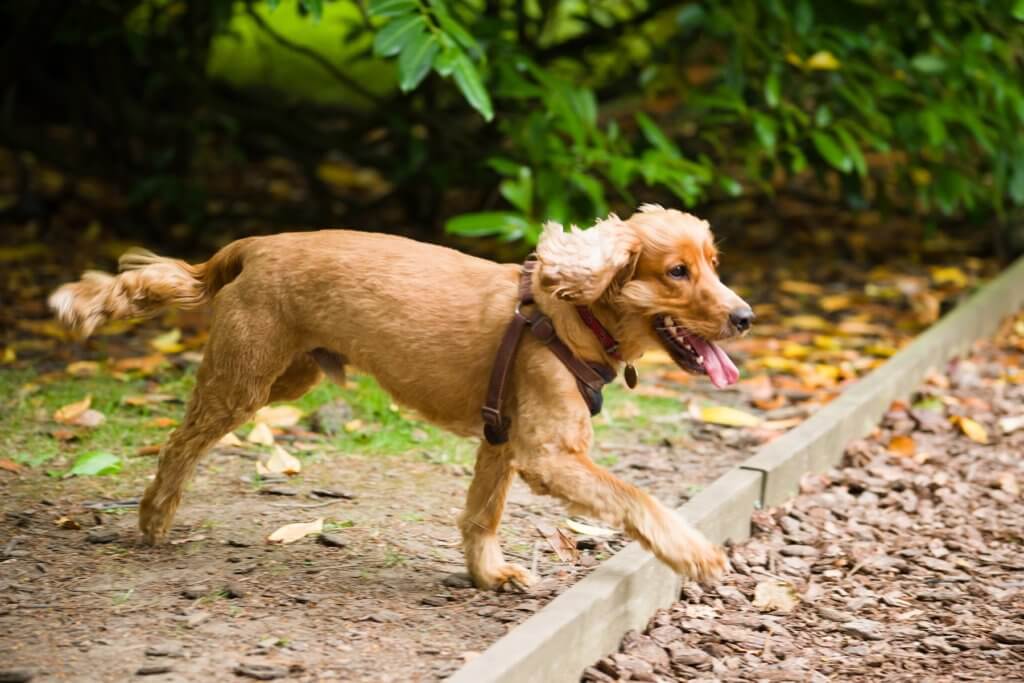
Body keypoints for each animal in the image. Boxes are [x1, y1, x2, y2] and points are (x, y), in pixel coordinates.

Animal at [49, 204, 753, 593]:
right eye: (677, 272)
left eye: (714, 265)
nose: (745, 317)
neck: (569, 315)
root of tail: (255, 244)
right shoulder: (549, 454)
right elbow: (638, 498)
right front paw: (695, 554)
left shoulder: (503, 442)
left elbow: (481, 516)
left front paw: (489, 575)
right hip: (242, 380)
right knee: (178, 443)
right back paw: (154, 520)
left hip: (289, 377)